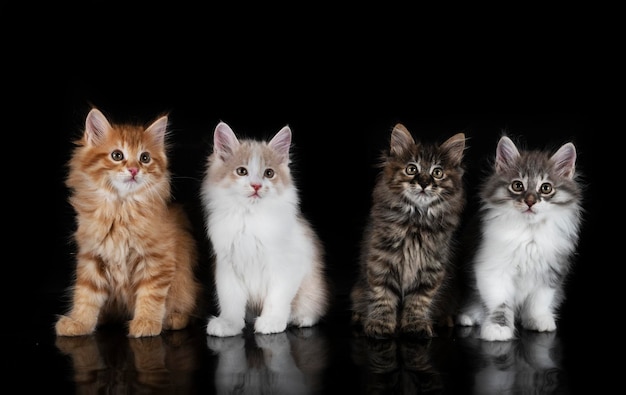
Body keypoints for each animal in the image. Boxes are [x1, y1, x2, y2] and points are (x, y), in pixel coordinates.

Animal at [55, 108, 199, 338]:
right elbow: (85, 295)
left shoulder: (157, 259)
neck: (120, 209)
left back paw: (173, 319)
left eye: (145, 158)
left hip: (185, 287)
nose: (133, 170)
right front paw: (80, 322)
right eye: (117, 155)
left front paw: (146, 323)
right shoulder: (92, 256)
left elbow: (151, 295)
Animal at [201, 121, 330, 338]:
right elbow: (230, 301)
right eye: (242, 171)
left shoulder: (287, 266)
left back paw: (301, 319)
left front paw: (271, 322)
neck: (249, 218)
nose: (256, 186)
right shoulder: (228, 266)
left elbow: (276, 298)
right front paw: (229, 324)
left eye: (269, 173)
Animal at [348, 123, 466, 338]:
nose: (424, 183)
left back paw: (445, 320)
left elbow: (418, 301)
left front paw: (415, 324)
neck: (416, 221)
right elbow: (383, 296)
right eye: (412, 169)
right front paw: (380, 324)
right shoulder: (381, 263)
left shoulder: (431, 270)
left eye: (437, 173)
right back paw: (360, 317)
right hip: (357, 291)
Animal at [454, 135, 580, 342]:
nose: (530, 201)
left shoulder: (551, 272)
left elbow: (539, 301)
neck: (529, 233)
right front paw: (498, 328)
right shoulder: (493, 270)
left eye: (546, 188)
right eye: (517, 185)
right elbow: (501, 303)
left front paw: (538, 320)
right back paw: (468, 317)